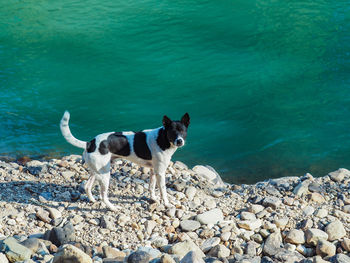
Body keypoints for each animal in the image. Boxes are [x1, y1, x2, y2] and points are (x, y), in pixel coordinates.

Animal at [60, 112, 191, 211]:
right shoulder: (160, 172)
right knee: (103, 196)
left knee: (87, 186)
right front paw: (167, 204)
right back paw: (112, 208)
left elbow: (151, 187)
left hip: (96, 171)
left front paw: (153, 198)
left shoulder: (154, 171)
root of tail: (90, 143)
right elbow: (163, 191)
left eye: (183, 131)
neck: (162, 138)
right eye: (172, 132)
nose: (179, 141)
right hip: (105, 175)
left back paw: (92, 200)